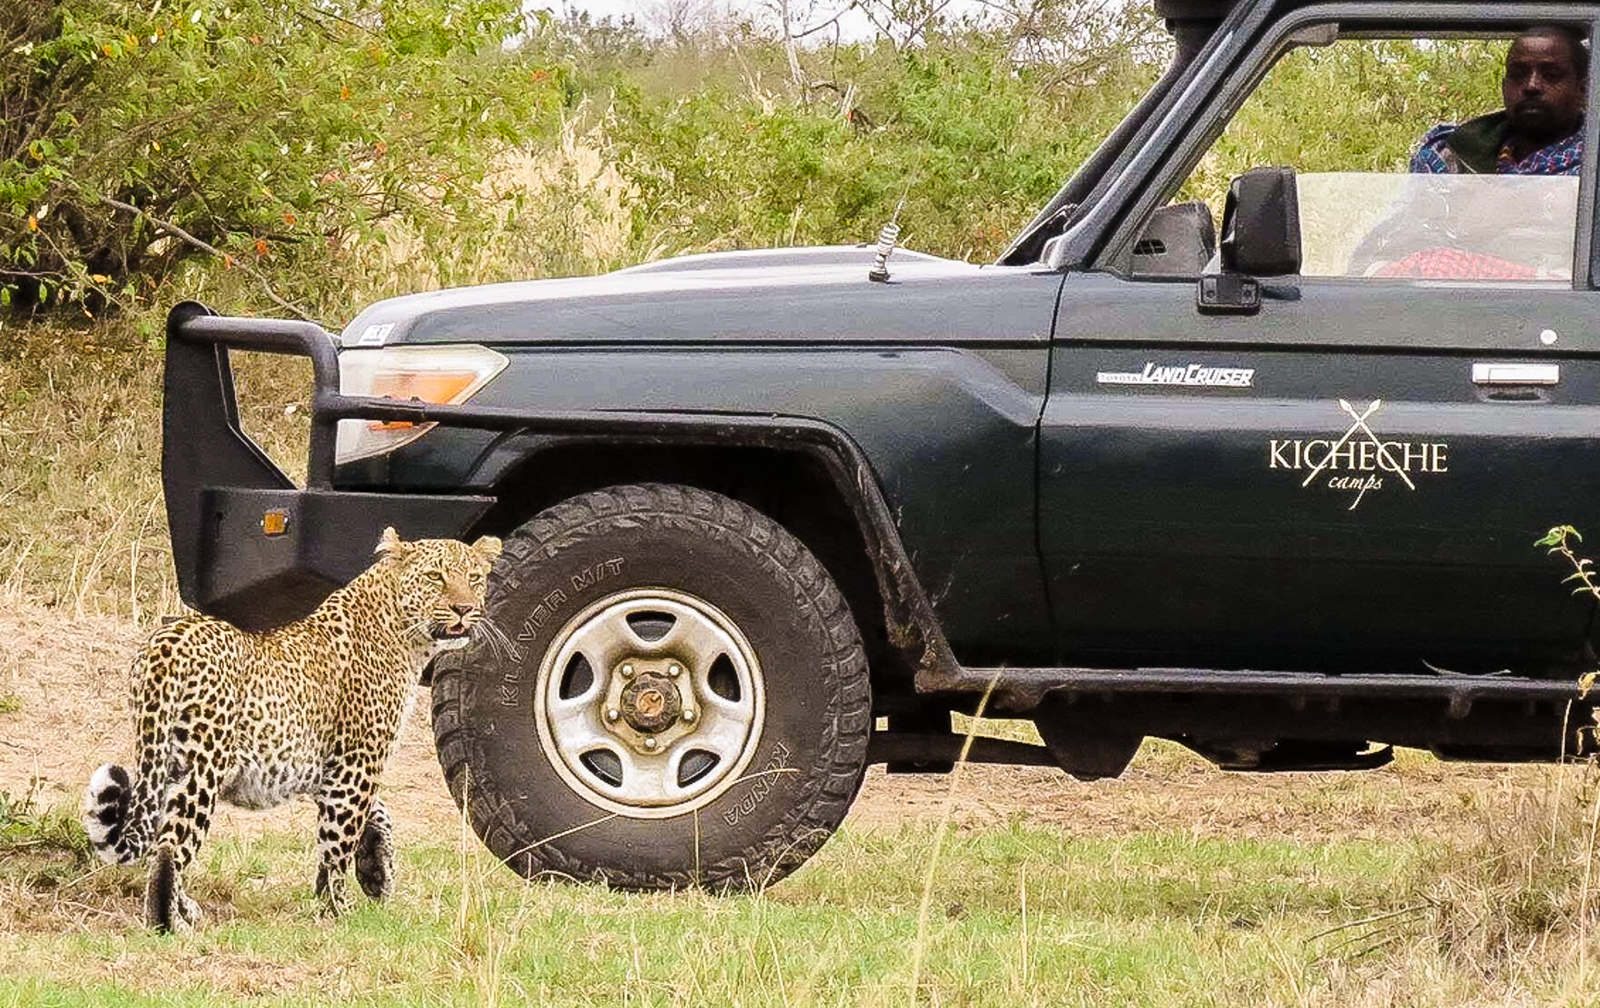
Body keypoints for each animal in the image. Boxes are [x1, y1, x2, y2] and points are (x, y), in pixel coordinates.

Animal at [82, 527, 502, 932]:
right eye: (435, 577)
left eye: (474, 578)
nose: (464, 609)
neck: (405, 635)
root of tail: (166, 643)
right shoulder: (358, 760)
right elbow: (339, 840)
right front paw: (339, 911)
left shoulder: (328, 766)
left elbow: (375, 813)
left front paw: (375, 871)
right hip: (203, 766)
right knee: (172, 845)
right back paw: (168, 923)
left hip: (163, 761)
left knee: (159, 836)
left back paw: (182, 910)